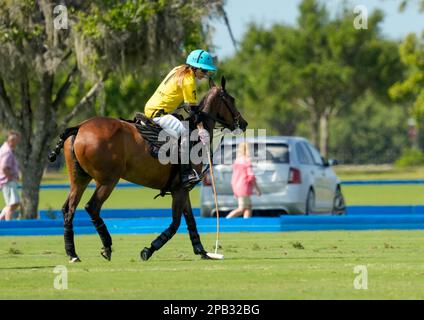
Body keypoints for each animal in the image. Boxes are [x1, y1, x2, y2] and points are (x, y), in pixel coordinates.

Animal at [48, 76, 248, 262]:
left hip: (79, 178)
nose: (244, 123)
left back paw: (72, 253)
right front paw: (148, 250)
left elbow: (190, 219)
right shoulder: (181, 189)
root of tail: (79, 127)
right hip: (108, 180)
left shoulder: (181, 188)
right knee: (92, 207)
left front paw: (202, 251)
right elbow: (175, 223)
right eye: (231, 99)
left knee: (68, 209)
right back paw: (106, 246)